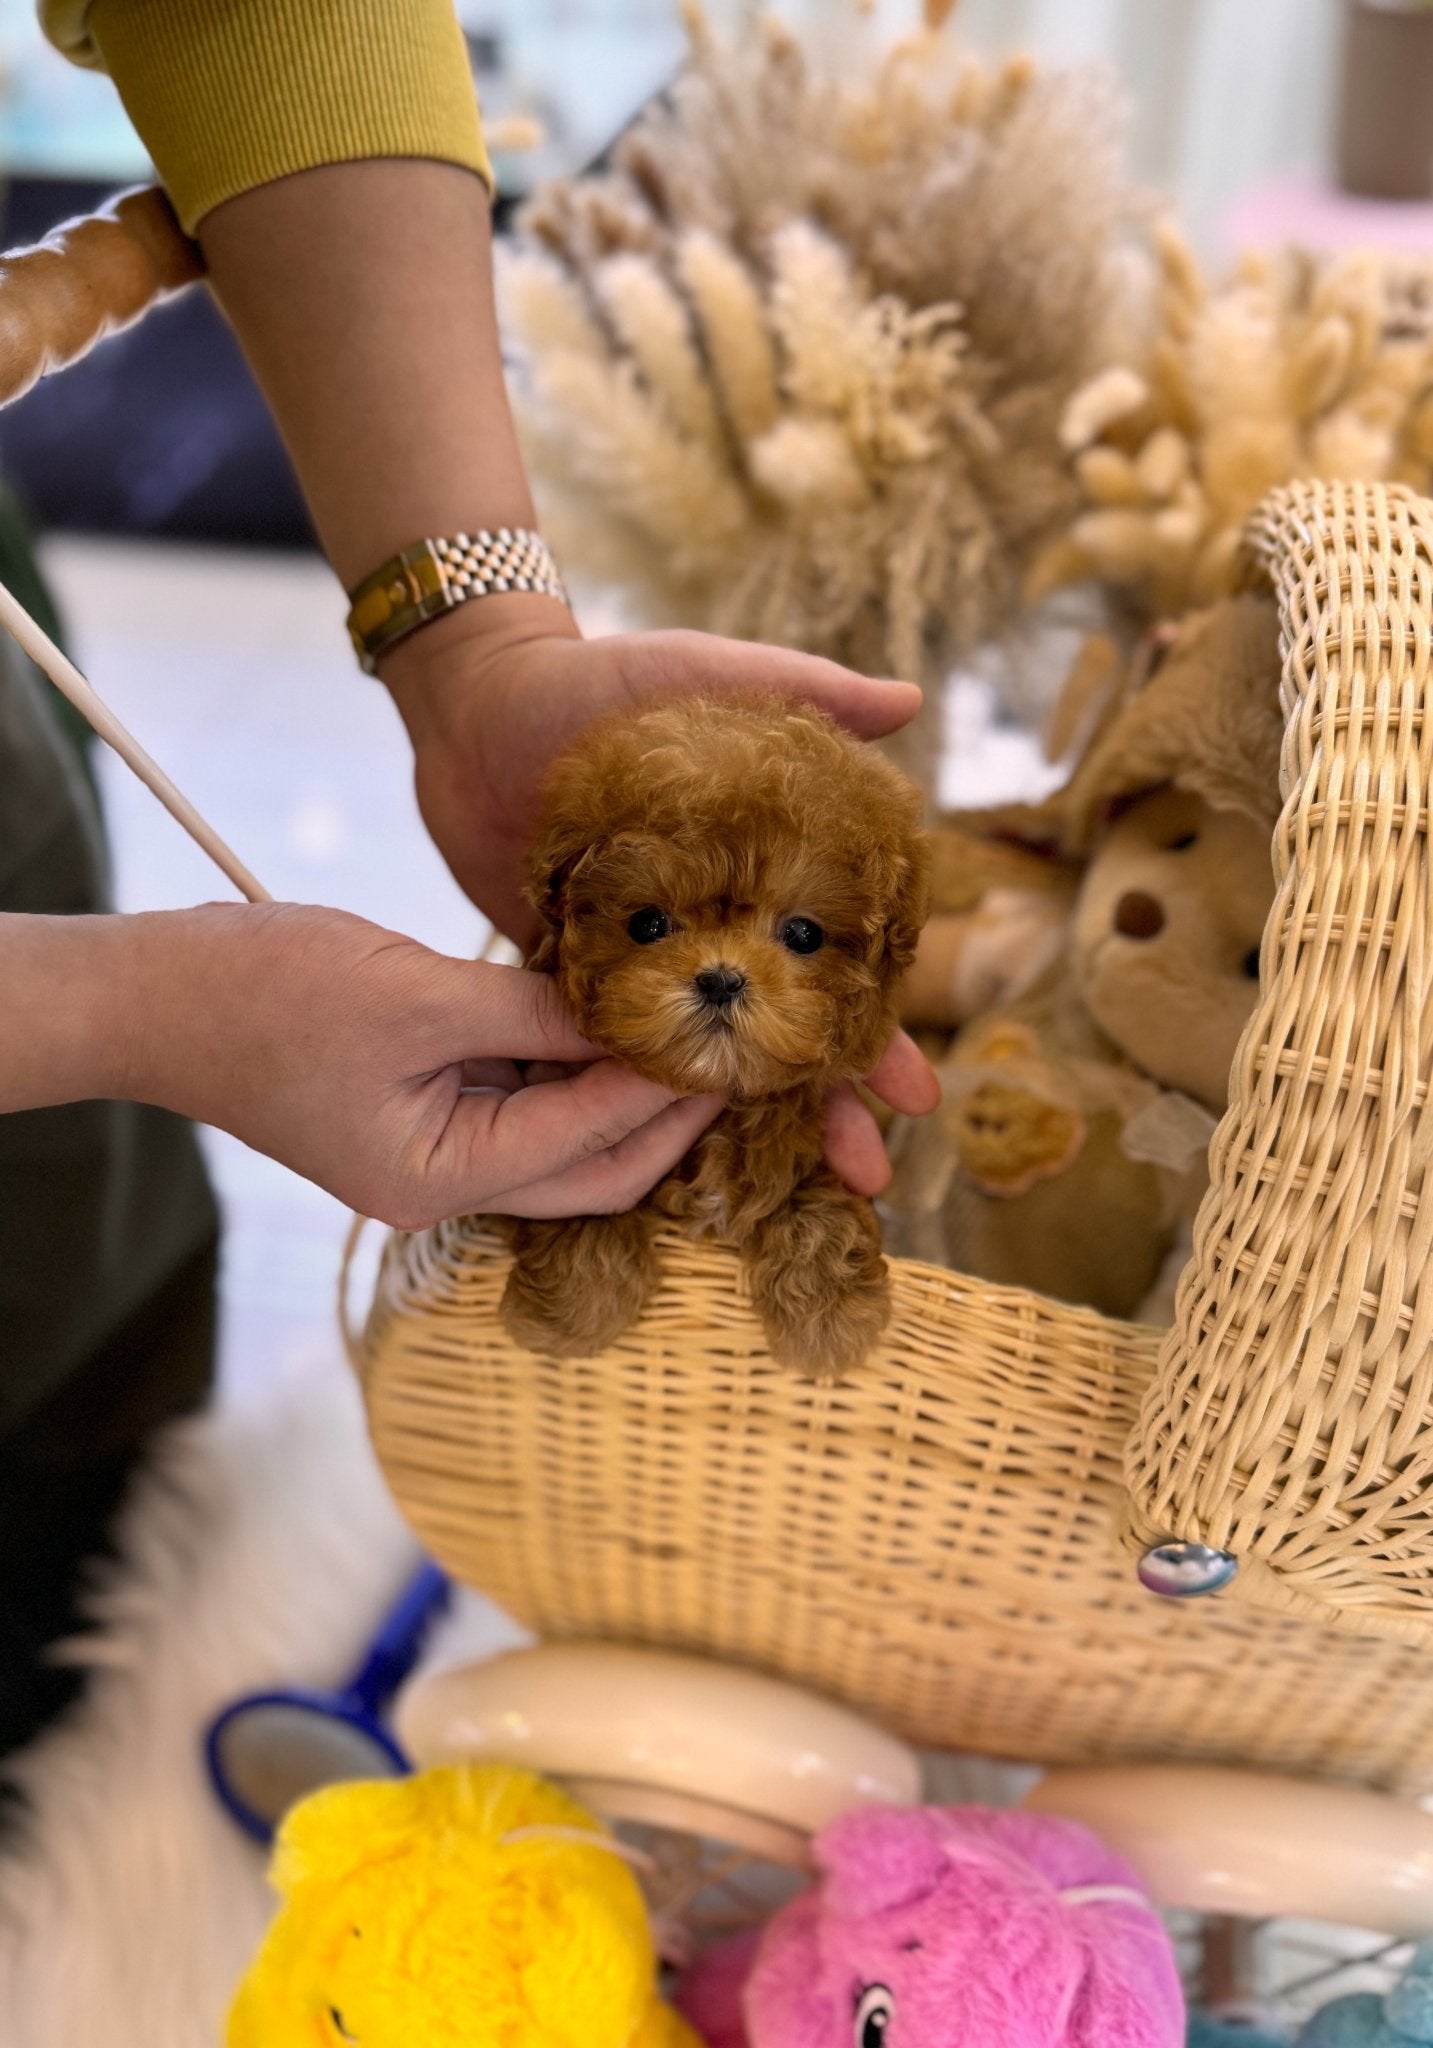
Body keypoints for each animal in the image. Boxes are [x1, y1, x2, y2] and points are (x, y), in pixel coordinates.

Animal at [501, 696, 929, 1384]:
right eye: (648, 924)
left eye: (803, 934)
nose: (722, 979)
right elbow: (575, 1197)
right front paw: (573, 1311)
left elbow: (817, 1205)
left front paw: (831, 1319)